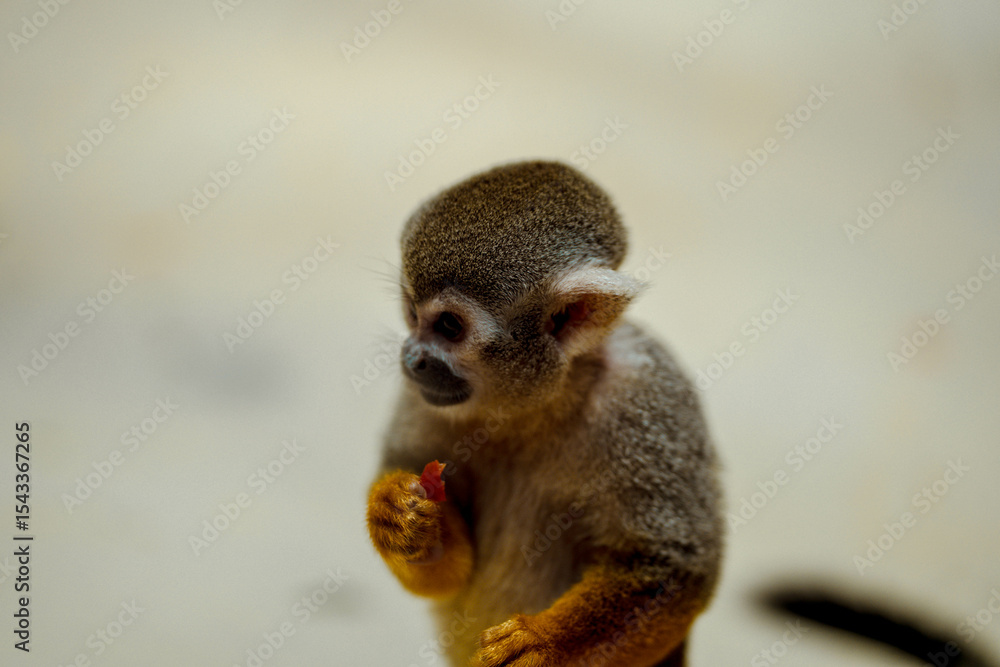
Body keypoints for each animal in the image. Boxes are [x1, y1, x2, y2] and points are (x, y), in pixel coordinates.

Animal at [365, 160, 723, 666]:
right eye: (411, 312)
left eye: (449, 326)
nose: (411, 358)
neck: (537, 401)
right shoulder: (425, 397)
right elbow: (450, 573)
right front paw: (400, 518)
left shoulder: (647, 398)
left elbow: (669, 567)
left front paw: (543, 642)